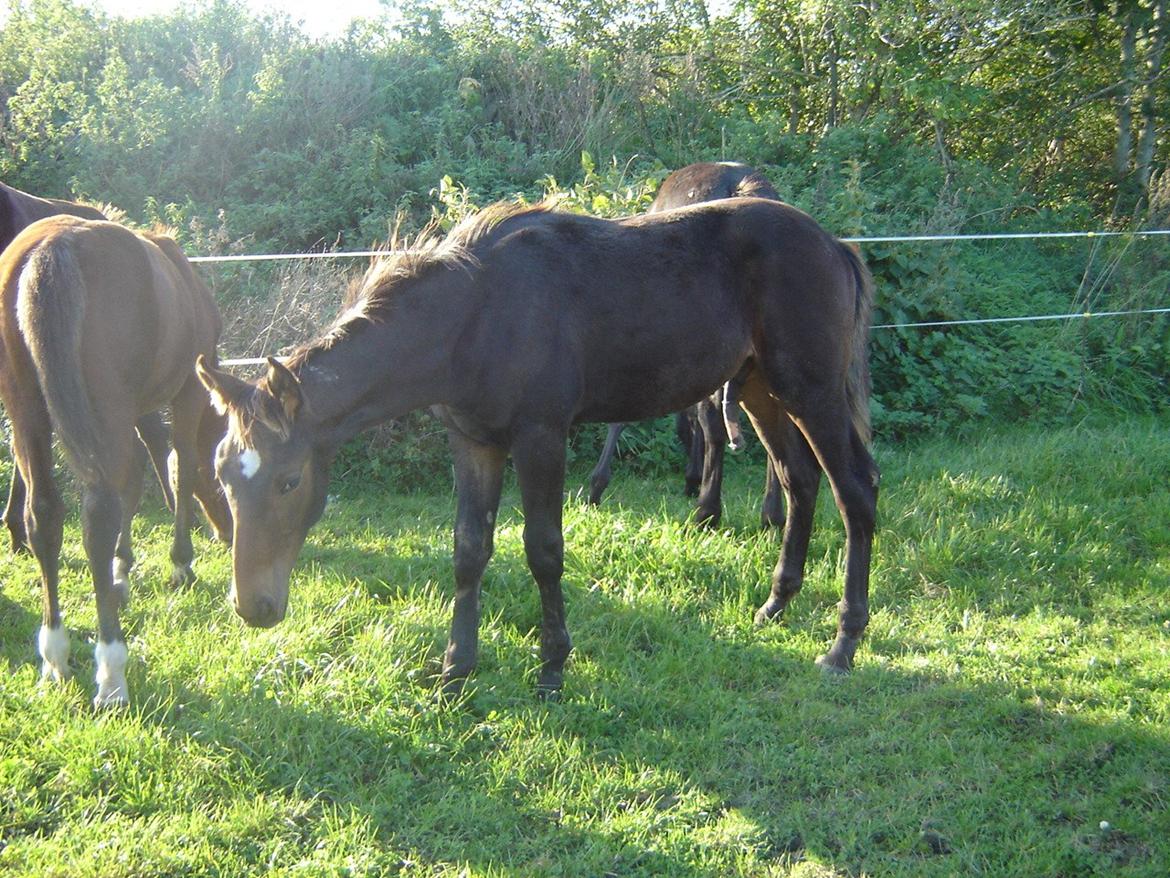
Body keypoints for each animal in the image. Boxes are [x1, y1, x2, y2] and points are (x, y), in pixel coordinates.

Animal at [198, 197, 879, 693]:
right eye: (224, 476)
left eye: (288, 481)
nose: (253, 607)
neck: (474, 314)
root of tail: (835, 245)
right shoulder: (473, 442)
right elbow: (469, 549)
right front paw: (456, 667)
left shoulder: (541, 438)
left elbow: (543, 549)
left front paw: (552, 665)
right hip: (762, 388)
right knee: (798, 481)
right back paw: (776, 605)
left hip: (811, 389)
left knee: (854, 491)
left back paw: (843, 645)